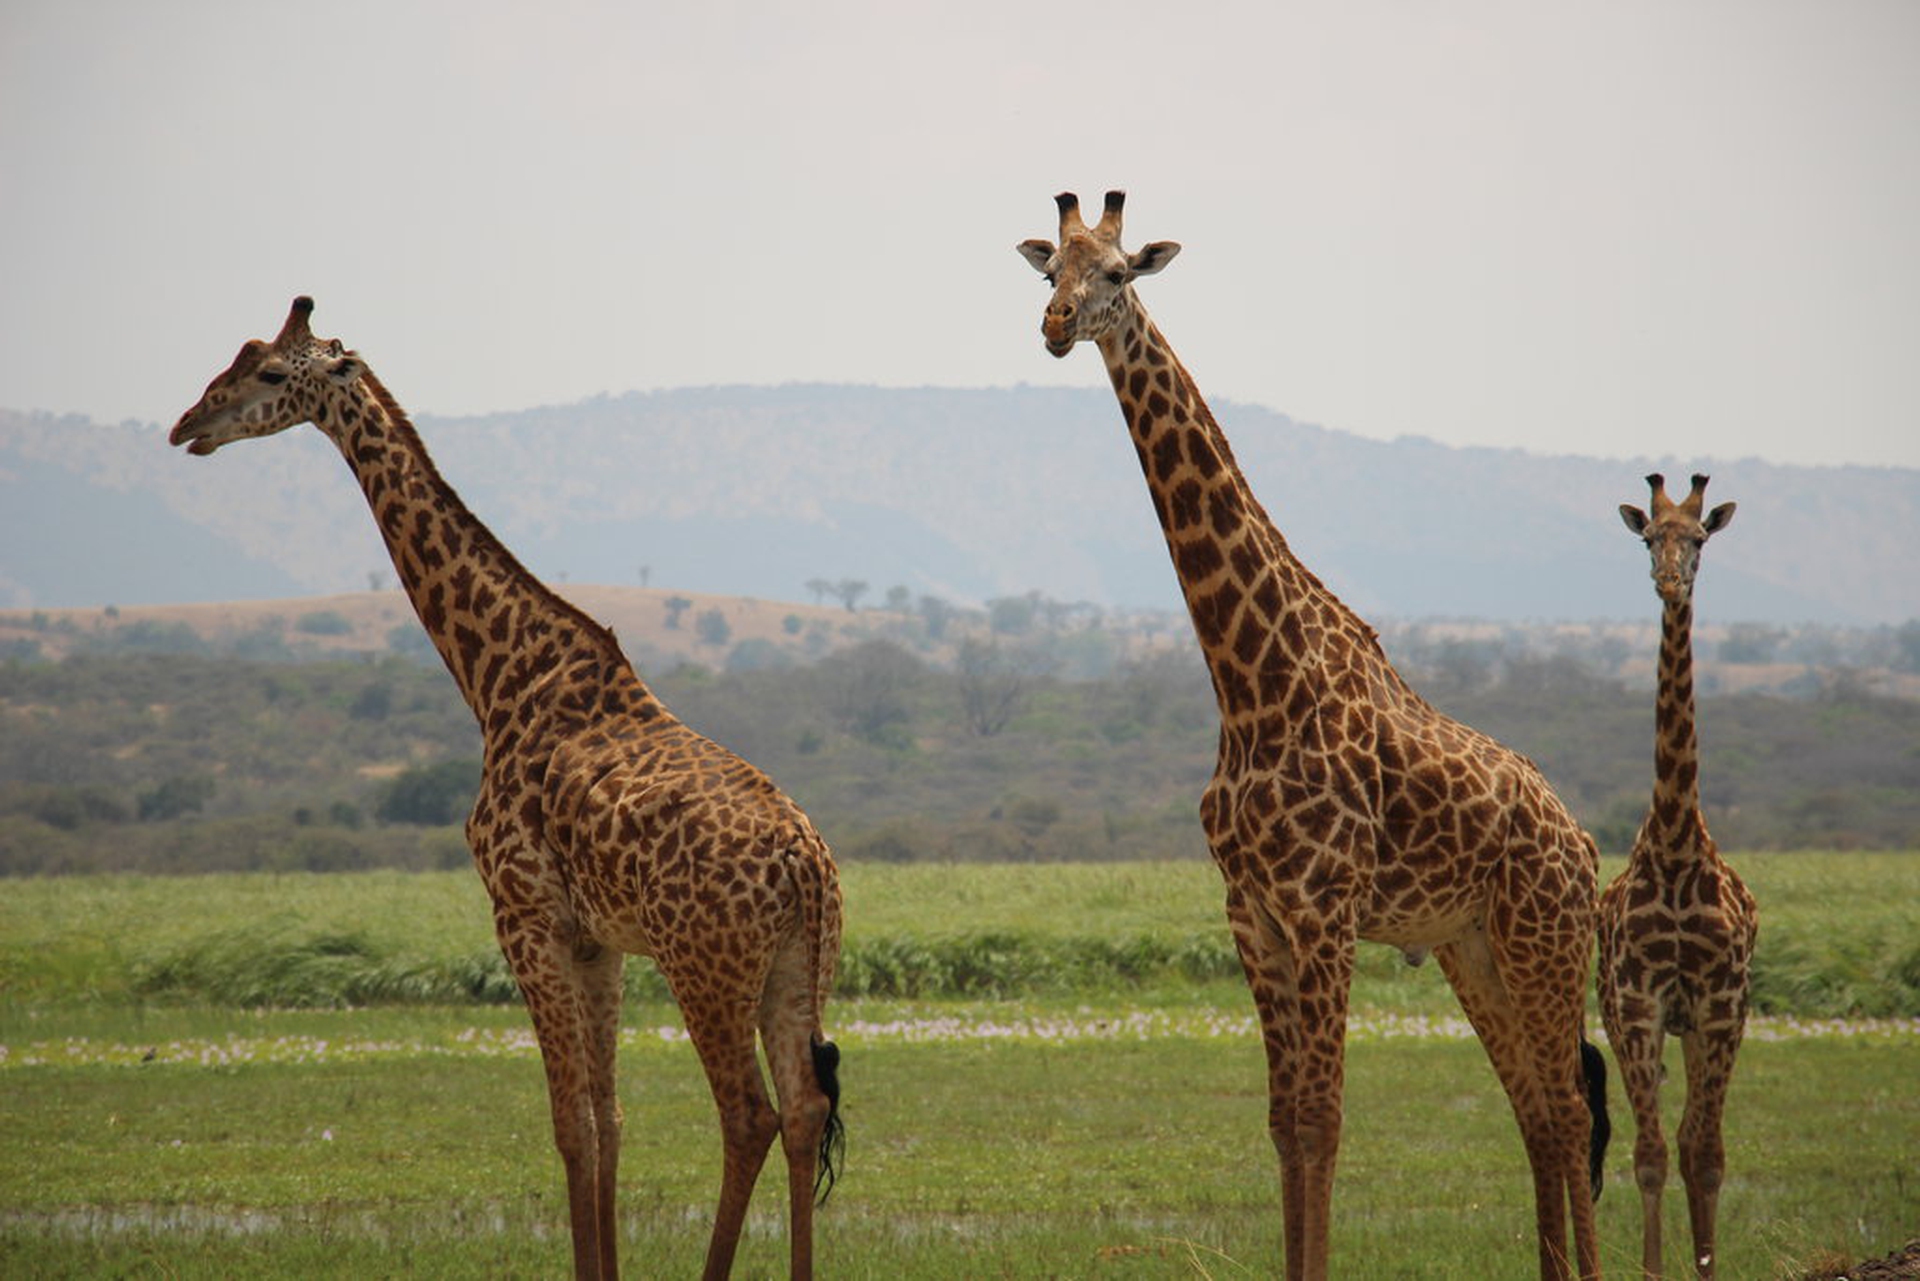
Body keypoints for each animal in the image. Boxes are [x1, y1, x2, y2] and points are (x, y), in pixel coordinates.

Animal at [168, 297, 845, 1281]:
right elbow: (608, 1121)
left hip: (704, 964)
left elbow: (569, 1126)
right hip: (797, 962)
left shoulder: (522, 915)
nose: (188, 424)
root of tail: (805, 862)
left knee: (748, 1115)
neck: (498, 675)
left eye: (264, 372)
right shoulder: (595, 939)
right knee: (802, 1109)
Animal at [1020, 192, 1605, 1281]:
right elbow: (1285, 1122)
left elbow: (1327, 1121)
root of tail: (1582, 841)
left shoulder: (1324, 908)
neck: (1251, 682)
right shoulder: (1253, 913)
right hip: (1471, 947)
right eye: (1049, 273)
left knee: (1573, 1103)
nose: (1055, 327)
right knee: (1542, 1113)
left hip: (1546, 936)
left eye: (1118, 273)